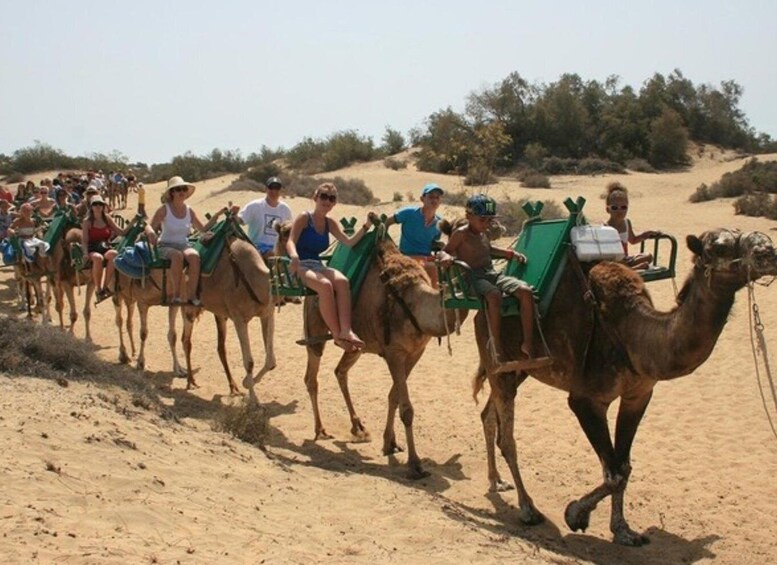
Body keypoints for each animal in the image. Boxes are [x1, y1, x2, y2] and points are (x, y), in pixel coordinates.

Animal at [274, 223, 466, 478]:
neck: (416, 303)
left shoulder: (416, 352)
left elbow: (394, 396)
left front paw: (390, 443)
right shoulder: (395, 352)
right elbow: (406, 408)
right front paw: (415, 464)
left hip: (357, 344)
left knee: (340, 371)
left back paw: (358, 427)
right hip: (315, 324)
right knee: (311, 377)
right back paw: (321, 429)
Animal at [470, 227, 776, 544]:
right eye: (719, 247)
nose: (768, 252)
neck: (635, 336)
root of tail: (480, 311)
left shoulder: (638, 395)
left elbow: (623, 466)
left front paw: (623, 529)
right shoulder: (586, 400)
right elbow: (613, 471)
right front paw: (576, 514)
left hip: (519, 368)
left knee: (488, 415)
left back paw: (496, 481)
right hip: (498, 360)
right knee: (507, 437)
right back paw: (528, 509)